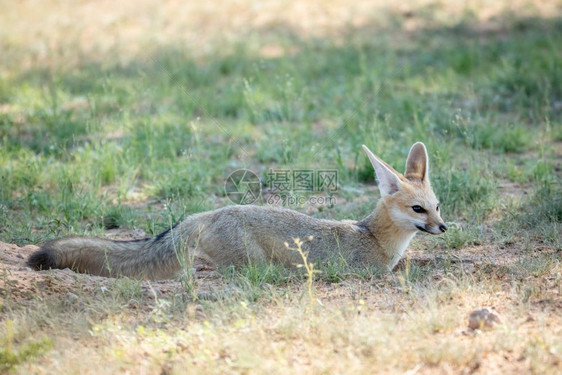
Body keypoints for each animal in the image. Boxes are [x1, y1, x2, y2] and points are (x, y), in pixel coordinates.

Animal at [27, 142, 446, 280]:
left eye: (437, 206)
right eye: (418, 209)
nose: (444, 227)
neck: (373, 237)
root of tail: (205, 214)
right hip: (255, 264)